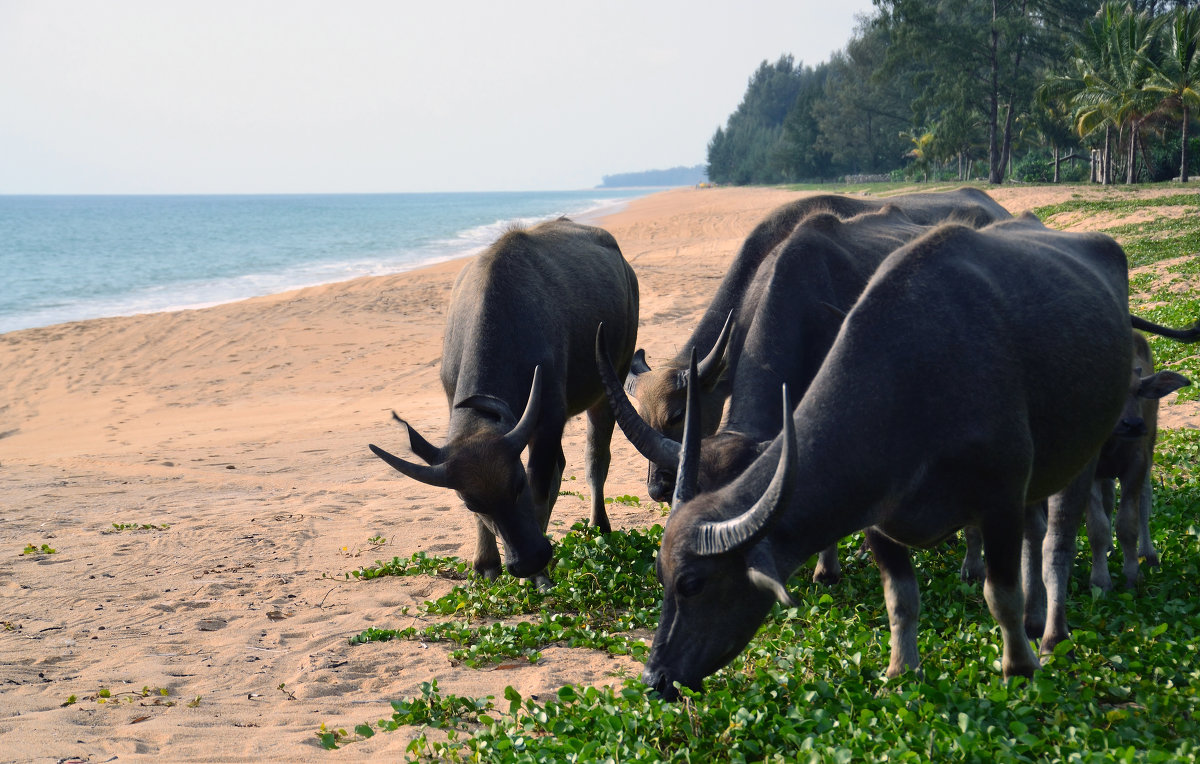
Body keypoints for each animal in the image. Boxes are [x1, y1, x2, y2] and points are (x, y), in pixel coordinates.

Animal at [372, 217, 638, 580]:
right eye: (470, 502)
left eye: (518, 483)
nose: (526, 561)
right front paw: (486, 562)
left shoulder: (549, 419)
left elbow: (542, 484)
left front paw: (540, 574)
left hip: (612, 377)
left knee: (595, 458)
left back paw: (600, 527)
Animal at [638, 213, 1132, 695]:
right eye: (660, 578)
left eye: (692, 584)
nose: (655, 679)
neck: (907, 391)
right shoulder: (877, 517)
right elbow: (900, 598)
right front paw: (899, 673)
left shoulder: (1001, 500)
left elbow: (1000, 594)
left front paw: (1019, 669)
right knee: (1037, 533)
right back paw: (1035, 615)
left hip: (1082, 452)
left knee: (1057, 542)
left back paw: (1053, 630)